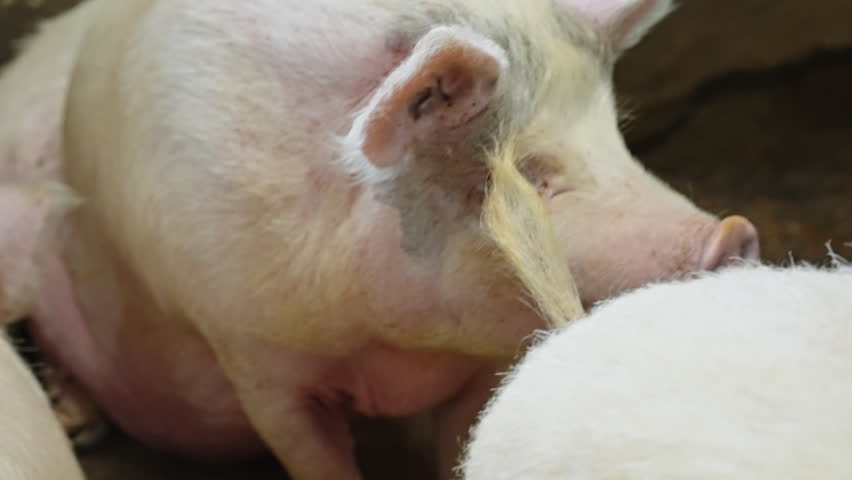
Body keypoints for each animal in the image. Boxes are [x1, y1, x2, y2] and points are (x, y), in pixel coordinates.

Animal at [0, 0, 760, 479]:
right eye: (536, 173)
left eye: (620, 139)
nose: (733, 232)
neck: (394, 344)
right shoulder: (252, 352)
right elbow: (313, 456)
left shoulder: (484, 359)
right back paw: (74, 420)